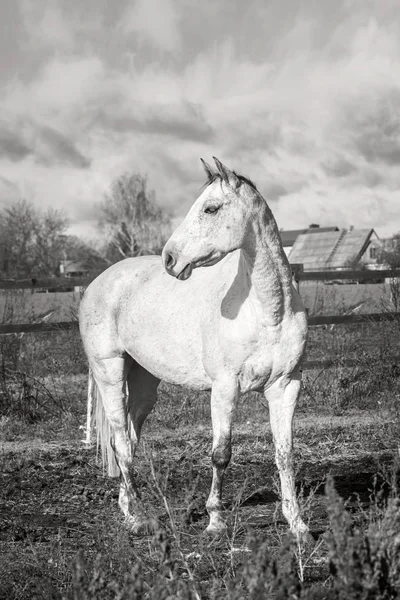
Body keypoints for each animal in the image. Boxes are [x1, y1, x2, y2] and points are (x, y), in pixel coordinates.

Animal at [79, 157, 310, 540]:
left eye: (210, 208)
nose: (170, 258)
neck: (269, 311)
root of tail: (99, 282)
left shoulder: (286, 386)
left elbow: (285, 453)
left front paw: (298, 524)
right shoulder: (225, 388)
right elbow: (221, 453)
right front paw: (215, 521)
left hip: (144, 382)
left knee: (129, 437)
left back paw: (127, 509)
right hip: (108, 371)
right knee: (121, 442)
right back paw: (139, 519)